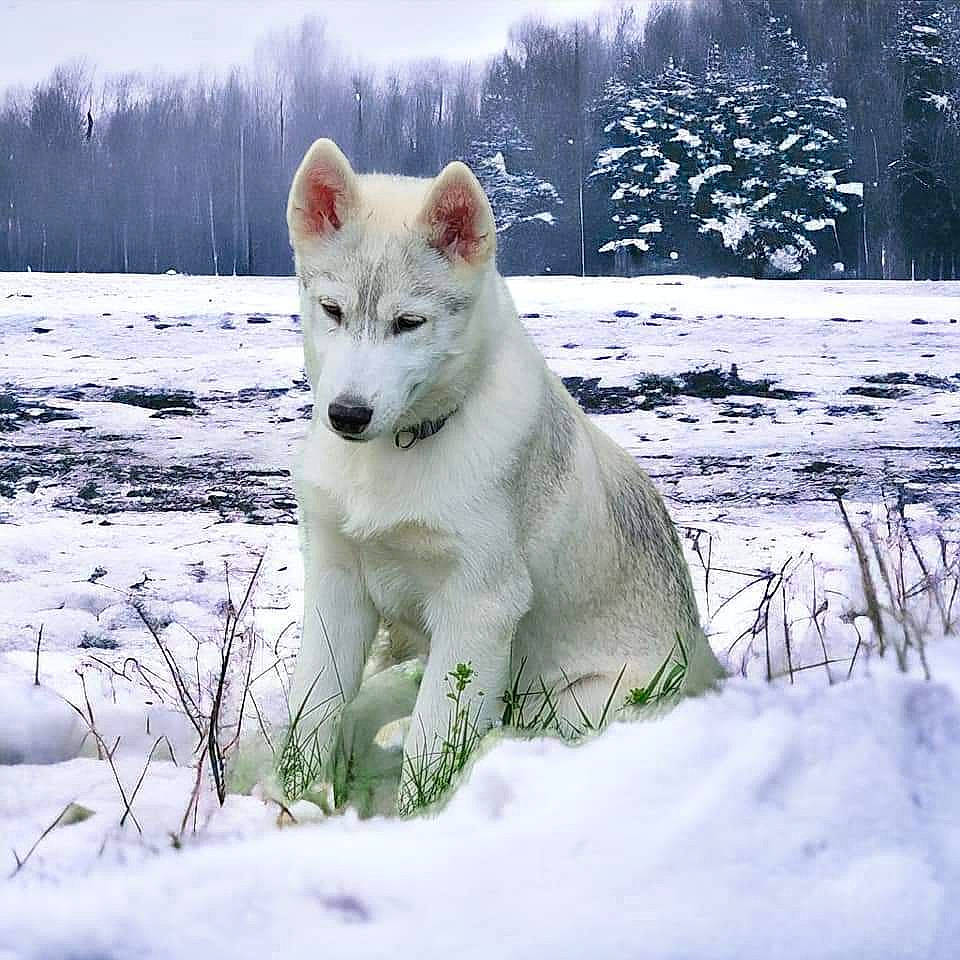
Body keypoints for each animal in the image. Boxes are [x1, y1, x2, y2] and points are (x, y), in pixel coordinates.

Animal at [284, 138, 723, 811]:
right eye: (331, 310)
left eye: (408, 323)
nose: (347, 415)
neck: (399, 451)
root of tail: (708, 668)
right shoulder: (337, 581)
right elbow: (315, 709)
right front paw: (300, 803)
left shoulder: (480, 603)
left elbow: (430, 747)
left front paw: (414, 820)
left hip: (571, 705)